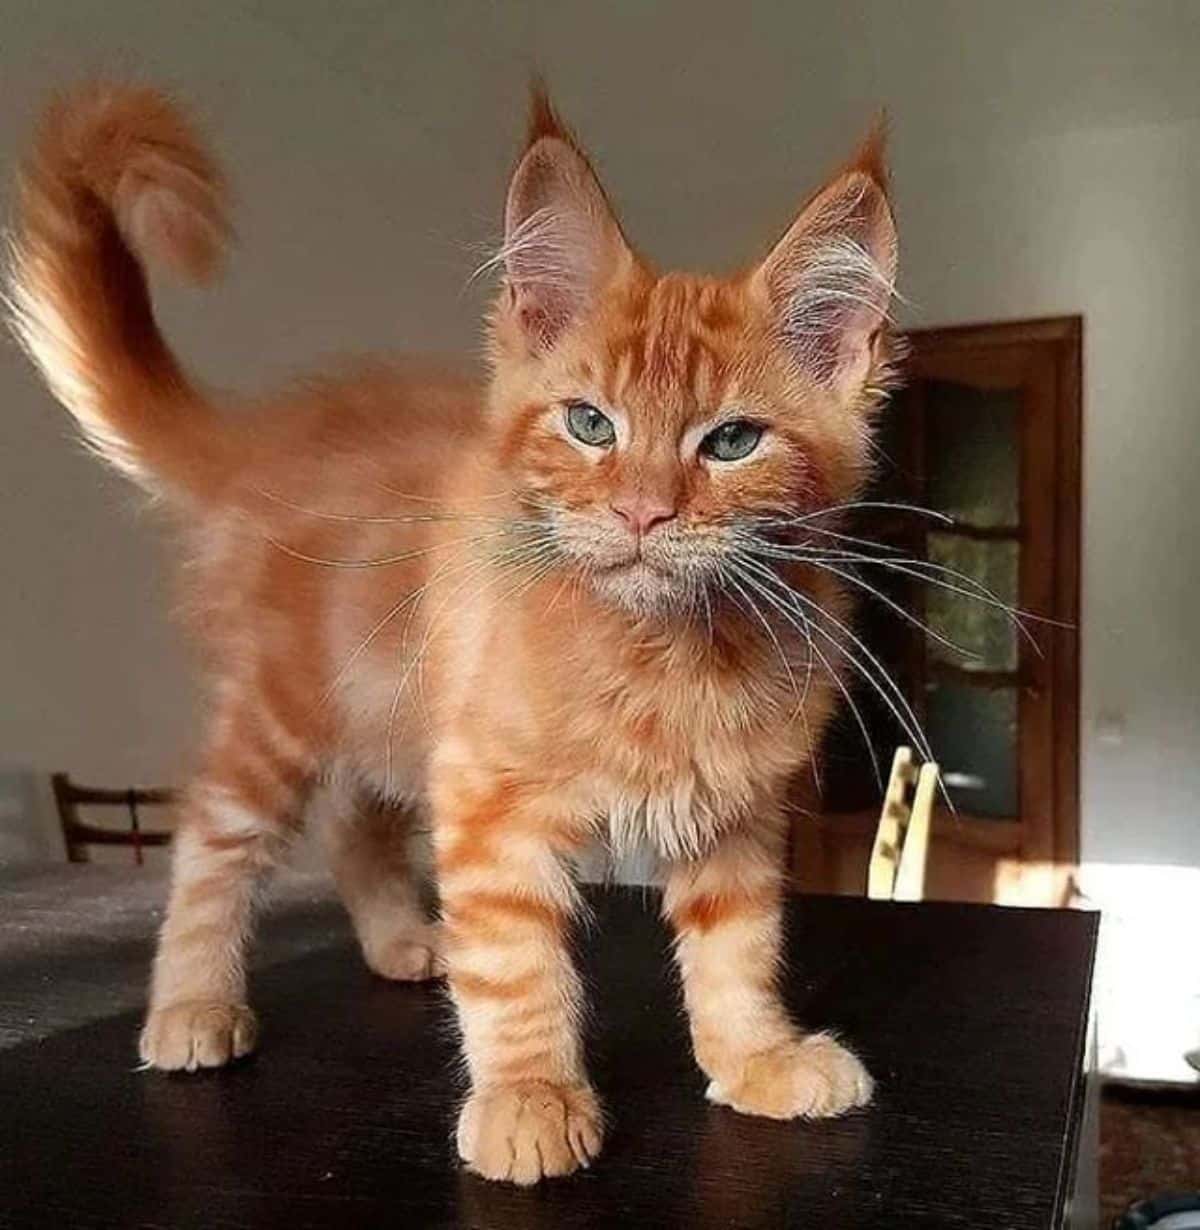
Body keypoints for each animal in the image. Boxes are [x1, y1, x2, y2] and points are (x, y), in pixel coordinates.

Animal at [7, 84, 890, 1180]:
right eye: (590, 425)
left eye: (731, 442)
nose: (643, 513)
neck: (666, 648)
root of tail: (266, 439)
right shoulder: (486, 795)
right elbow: (513, 966)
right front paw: (527, 1098)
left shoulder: (736, 812)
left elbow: (739, 950)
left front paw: (756, 1058)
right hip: (283, 713)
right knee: (213, 840)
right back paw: (192, 1004)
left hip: (386, 708)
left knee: (354, 824)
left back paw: (398, 942)